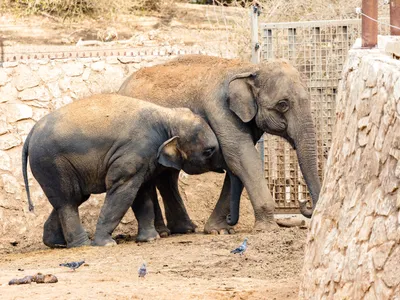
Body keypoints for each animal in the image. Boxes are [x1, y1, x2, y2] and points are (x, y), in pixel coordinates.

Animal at [21, 94, 225, 248]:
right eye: (208, 151)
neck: (168, 116)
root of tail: (30, 134)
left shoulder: (144, 159)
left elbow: (141, 193)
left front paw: (150, 239)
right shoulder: (134, 152)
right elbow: (123, 191)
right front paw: (106, 244)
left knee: (73, 198)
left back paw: (55, 243)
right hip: (52, 163)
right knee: (69, 201)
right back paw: (82, 245)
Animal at [117, 55, 324, 236]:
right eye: (282, 104)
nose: (304, 202)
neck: (249, 68)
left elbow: (238, 162)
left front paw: (219, 231)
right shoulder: (220, 110)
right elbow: (241, 156)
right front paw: (268, 230)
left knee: (167, 175)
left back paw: (184, 229)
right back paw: (162, 232)